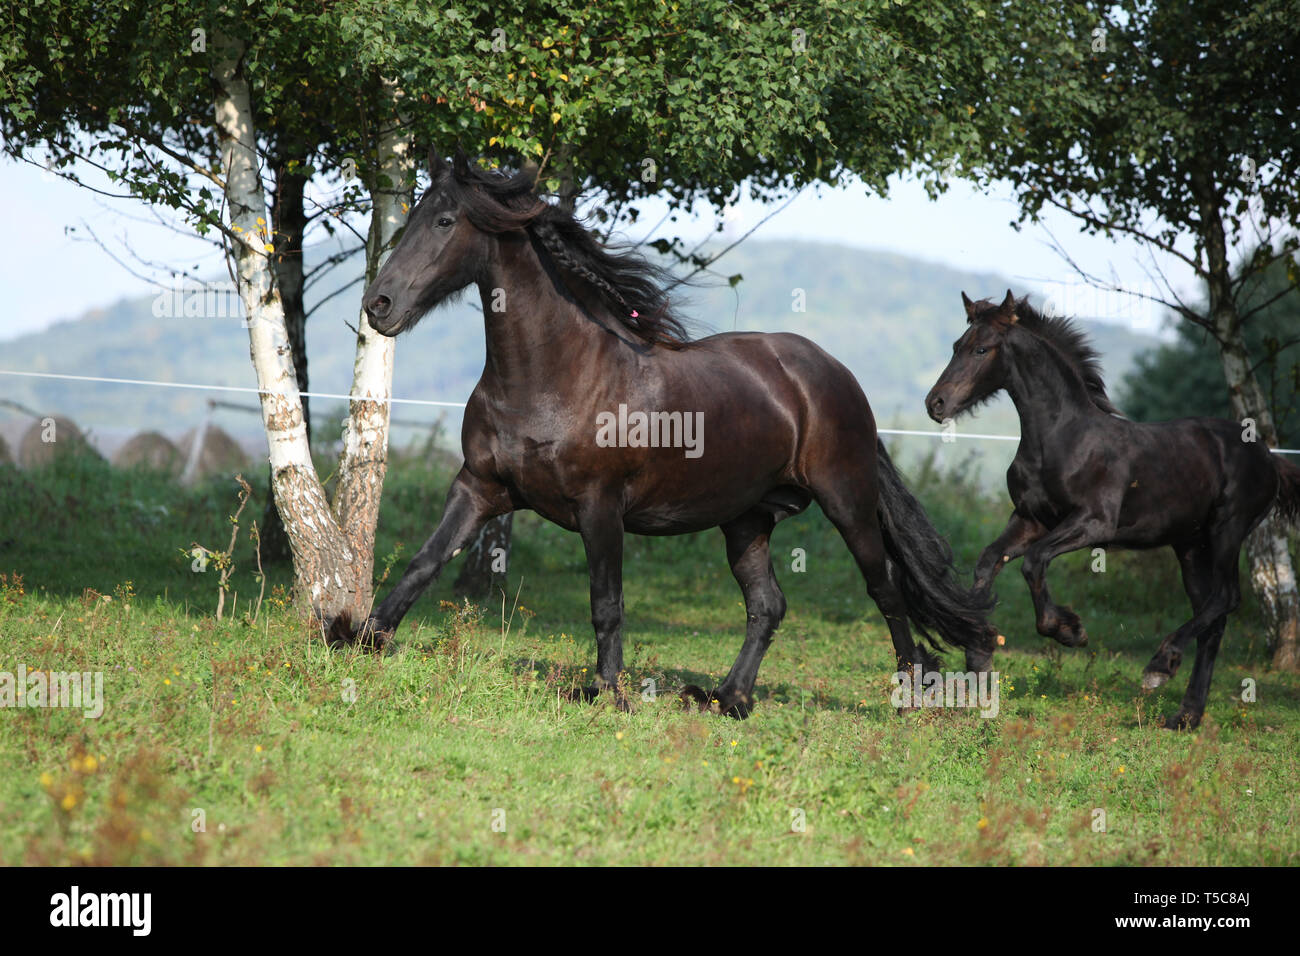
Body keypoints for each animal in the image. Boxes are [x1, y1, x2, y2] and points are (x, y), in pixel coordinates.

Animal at [328, 151, 996, 718]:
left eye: (444, 220)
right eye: (413, 214)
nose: (379, 305)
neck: (552, 377)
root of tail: (834, 374)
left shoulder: (599, 507)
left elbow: (606, 604)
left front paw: (607, 693)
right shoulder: (479, 489)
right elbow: (423, 562)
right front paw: (358, 638)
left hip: (847, 501)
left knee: (885, 588)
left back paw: (910, 695)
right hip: (747, 518)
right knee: (768, 604)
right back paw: (728, 699)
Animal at [924, 290, 1300, 729]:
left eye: (982, 349)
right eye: (957, 346)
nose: (936, 403)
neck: (1062, 438)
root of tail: (1269, 458)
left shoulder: (1094, 524)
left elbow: (1034, 562)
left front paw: (1068, 630)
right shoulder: (1031, 519)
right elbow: (988, 561)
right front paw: (979, 653)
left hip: (1228, 529)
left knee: (1226, 597)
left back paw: (1159, 666)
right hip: (1190, 545)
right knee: (1213, 615)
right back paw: (1185, 715)